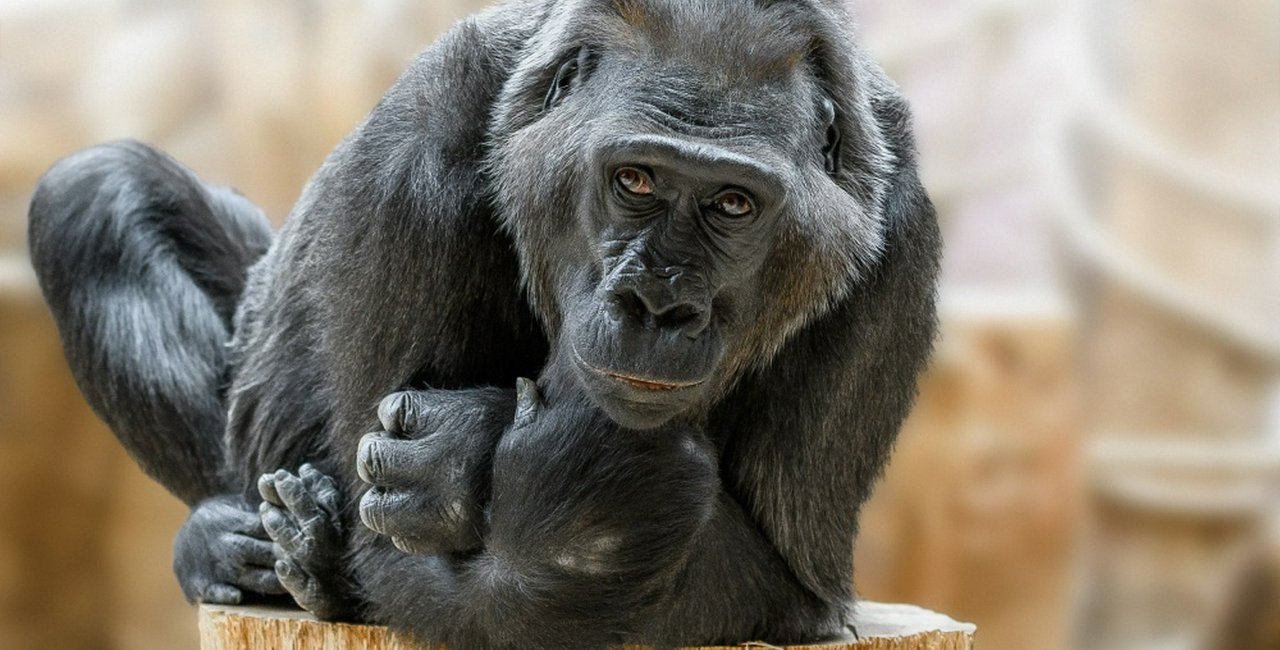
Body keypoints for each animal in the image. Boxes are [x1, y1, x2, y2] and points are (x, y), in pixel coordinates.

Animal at [28, 1, 939, 648]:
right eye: (636, 180)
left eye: (734, 205)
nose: (658, 305)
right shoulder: (421, 141)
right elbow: (394, 565)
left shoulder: (896, 237)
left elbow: (792, 592)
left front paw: (547, 506)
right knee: (90, 194)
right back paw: (219, 537)